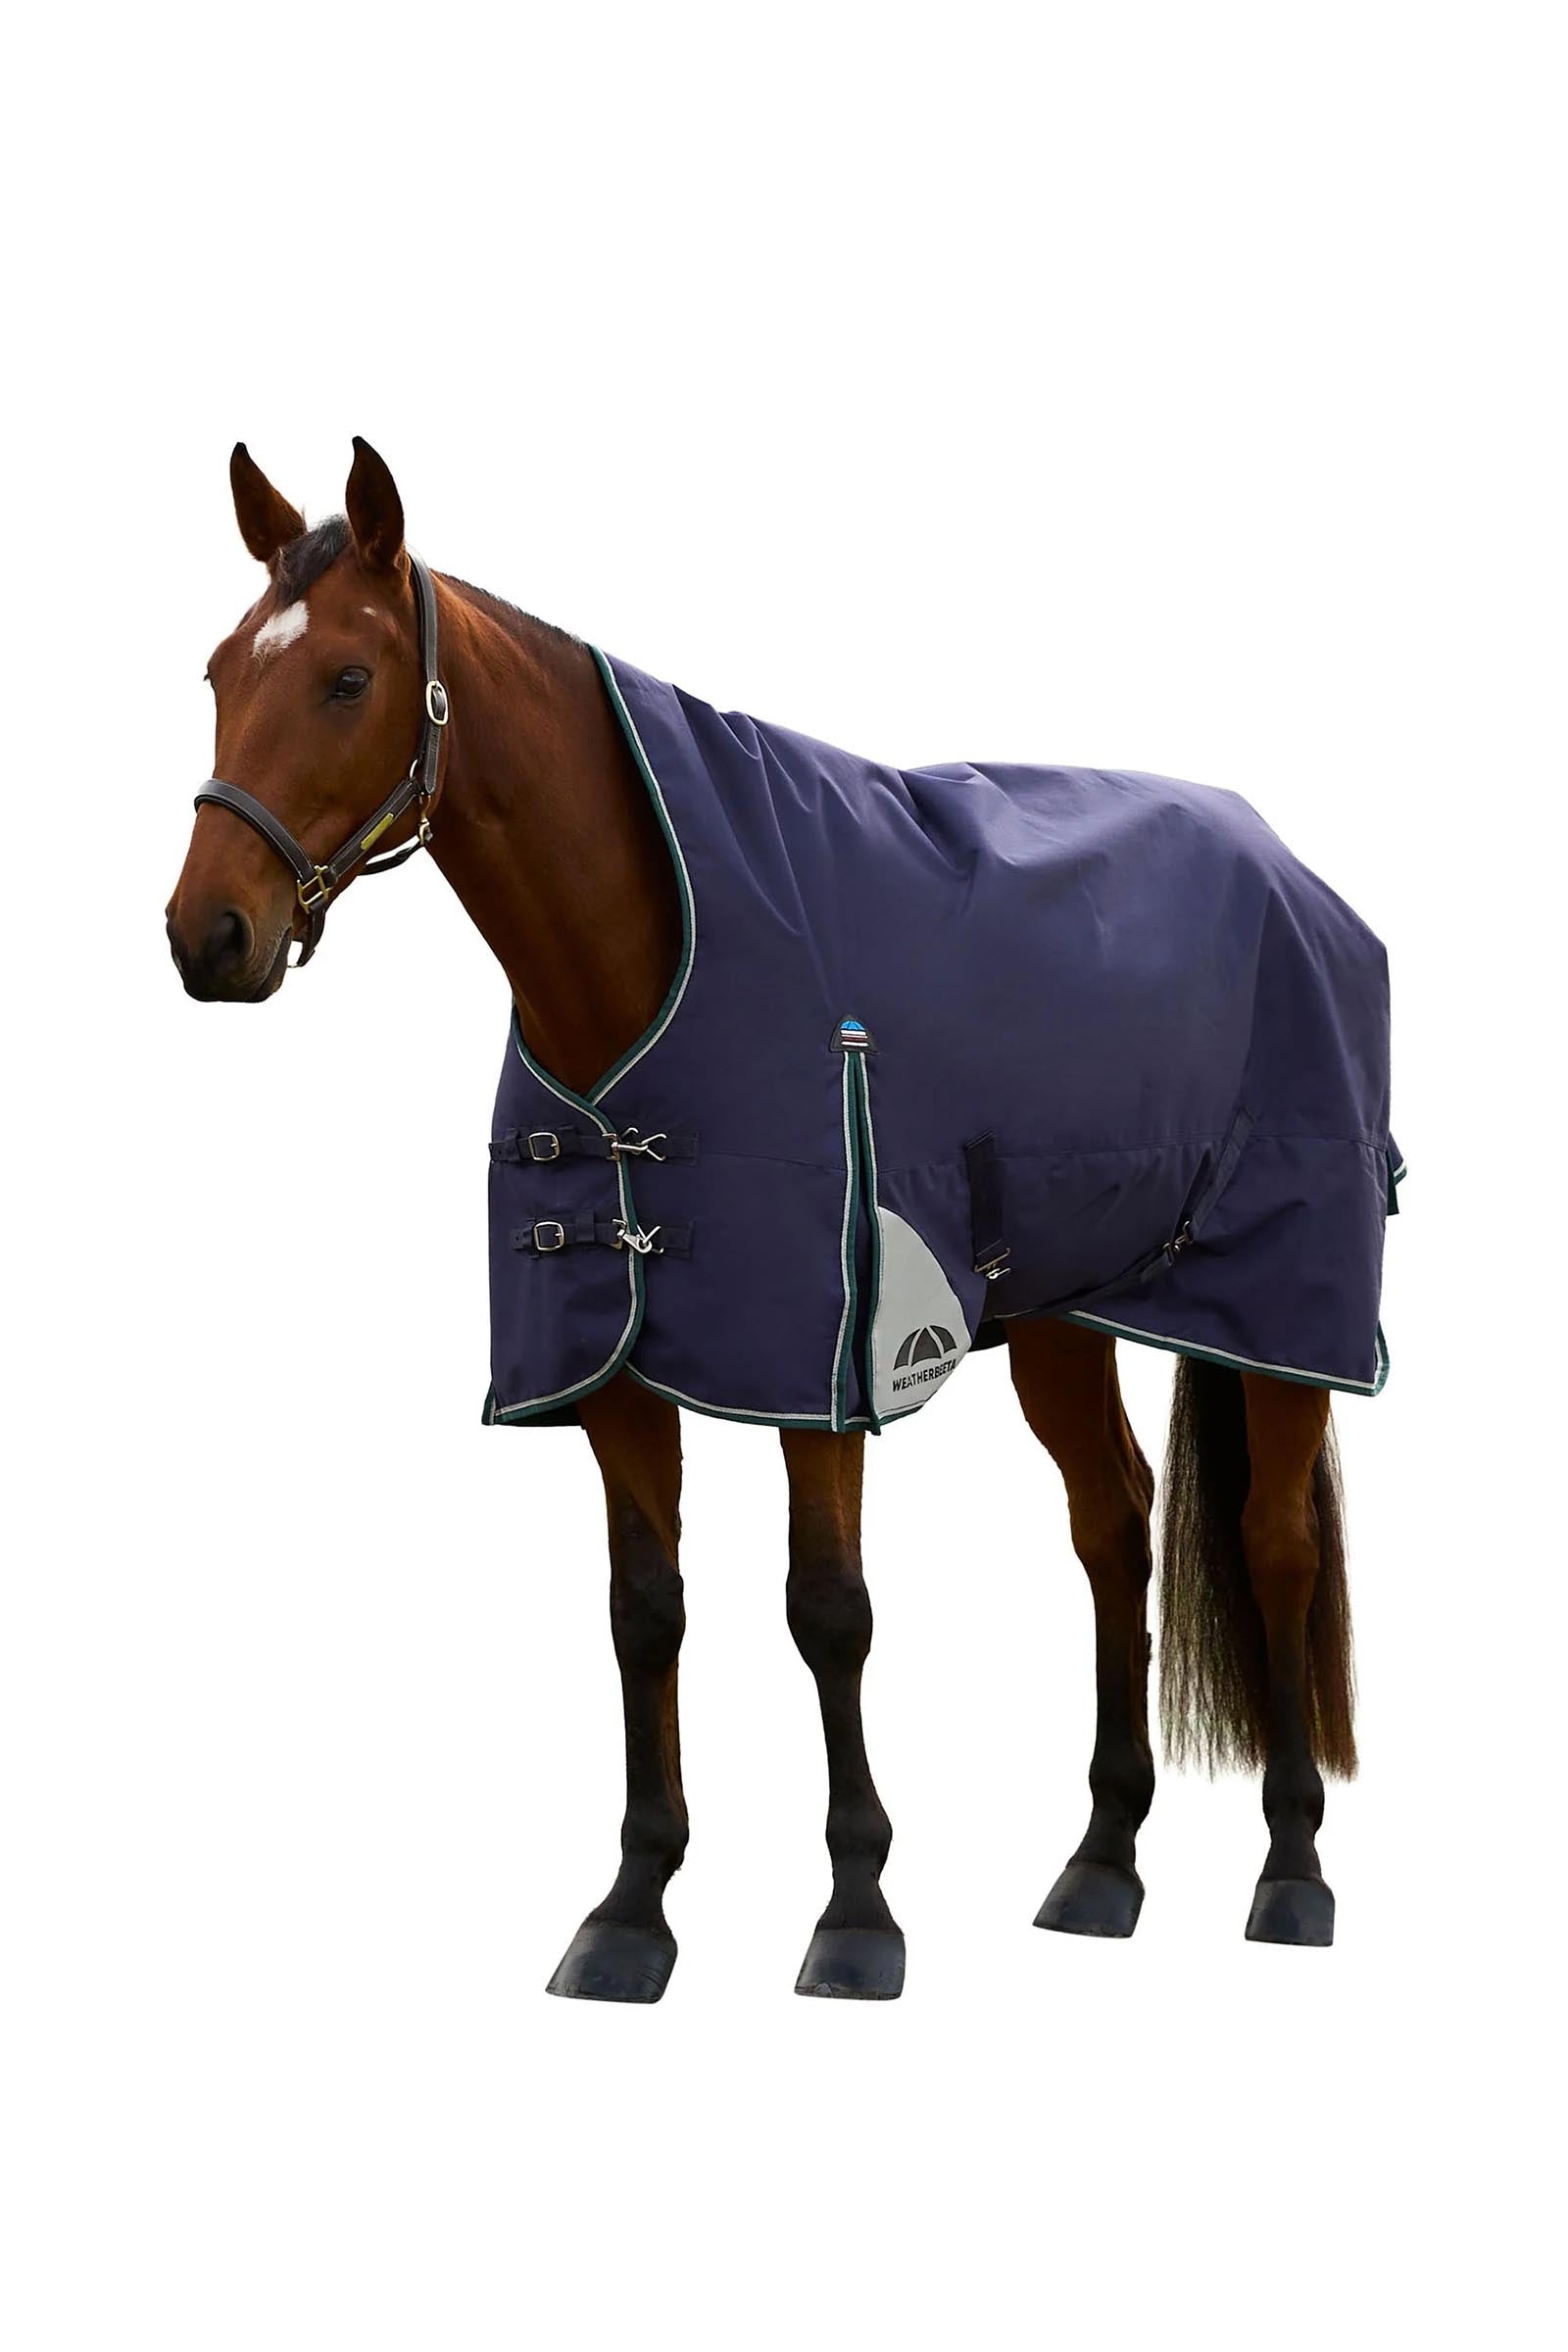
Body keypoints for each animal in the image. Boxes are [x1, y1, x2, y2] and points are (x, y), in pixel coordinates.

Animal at [167, 438, 1370, 1999]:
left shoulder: (825, 1359)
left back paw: (1293, 1873)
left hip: (1285, 1306)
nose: (207, 937)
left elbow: (829, 1612)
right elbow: (644, 1613)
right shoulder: (612, 1369)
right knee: (1114, 1526)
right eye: (215, 673)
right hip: (1060, 1315)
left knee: (1277, 1546)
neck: (652, 957)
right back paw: (1102, 1867)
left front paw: (856, 1915)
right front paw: (631, 1911)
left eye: (350, 679)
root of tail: (1284, 863)